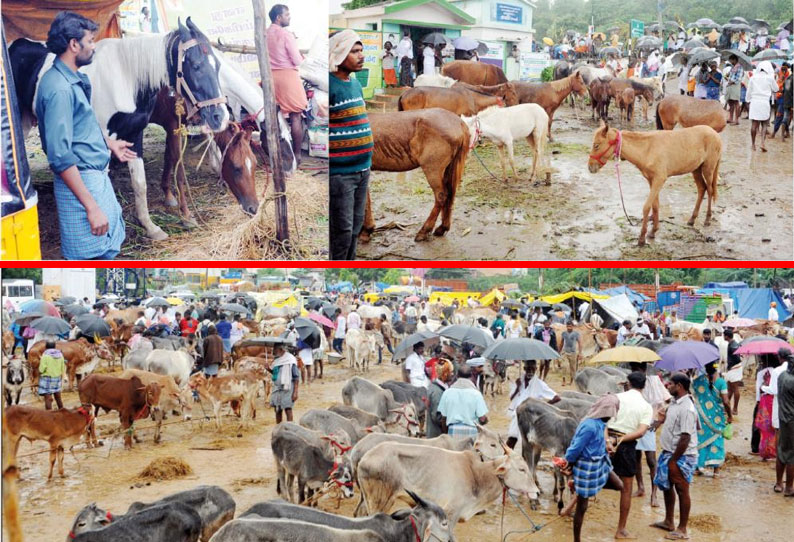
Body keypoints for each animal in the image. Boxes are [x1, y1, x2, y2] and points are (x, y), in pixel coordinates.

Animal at [360, 109, 468, 243]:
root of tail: (458, 122)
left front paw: (365, 230)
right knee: (450, 196)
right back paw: (442, 228)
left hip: (433, 170)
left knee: (441, 196)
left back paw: (424, 231)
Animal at [584, 122, 720, 248]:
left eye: (596, 145)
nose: (590, 167)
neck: (647, 150)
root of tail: (714, 133)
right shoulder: (651, 180)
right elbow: (655, 206)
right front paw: (653, 231)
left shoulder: (659, 180)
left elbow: (646, 207)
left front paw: (642, 238)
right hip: (696, 169)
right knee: (702, 189)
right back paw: (692, 219)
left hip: (708, 169)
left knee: (710, 190)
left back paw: (707, 219)